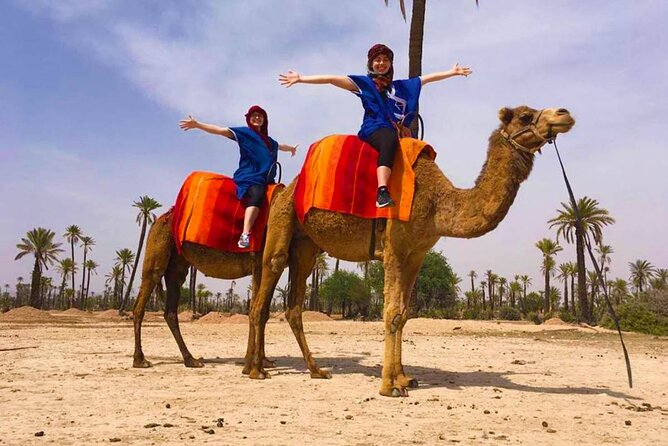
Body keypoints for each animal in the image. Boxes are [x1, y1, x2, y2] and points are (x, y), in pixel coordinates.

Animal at [132, 202, 280, 370]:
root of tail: (158, 220)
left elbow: (264, 311)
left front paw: (265, 361)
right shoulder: (259, 261)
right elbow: (257, 307)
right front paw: (256, 363)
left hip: (177, 264)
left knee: (170, 308)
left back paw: (191, 360)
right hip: (157, 246)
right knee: (145, 293)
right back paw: (140, 360)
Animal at [244, 106, 575, 396]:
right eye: (525, 115)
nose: (564, 114)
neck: (437, 202)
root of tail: (284, 189)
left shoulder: (417, 254)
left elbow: (403, 314)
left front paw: (404, 377)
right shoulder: (394, 247)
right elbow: (390, 312)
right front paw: (388, 386)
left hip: (307, 246)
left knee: (293, 306)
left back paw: (315, 370)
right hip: (282, 224)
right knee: (263, 295)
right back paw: (256, 370)